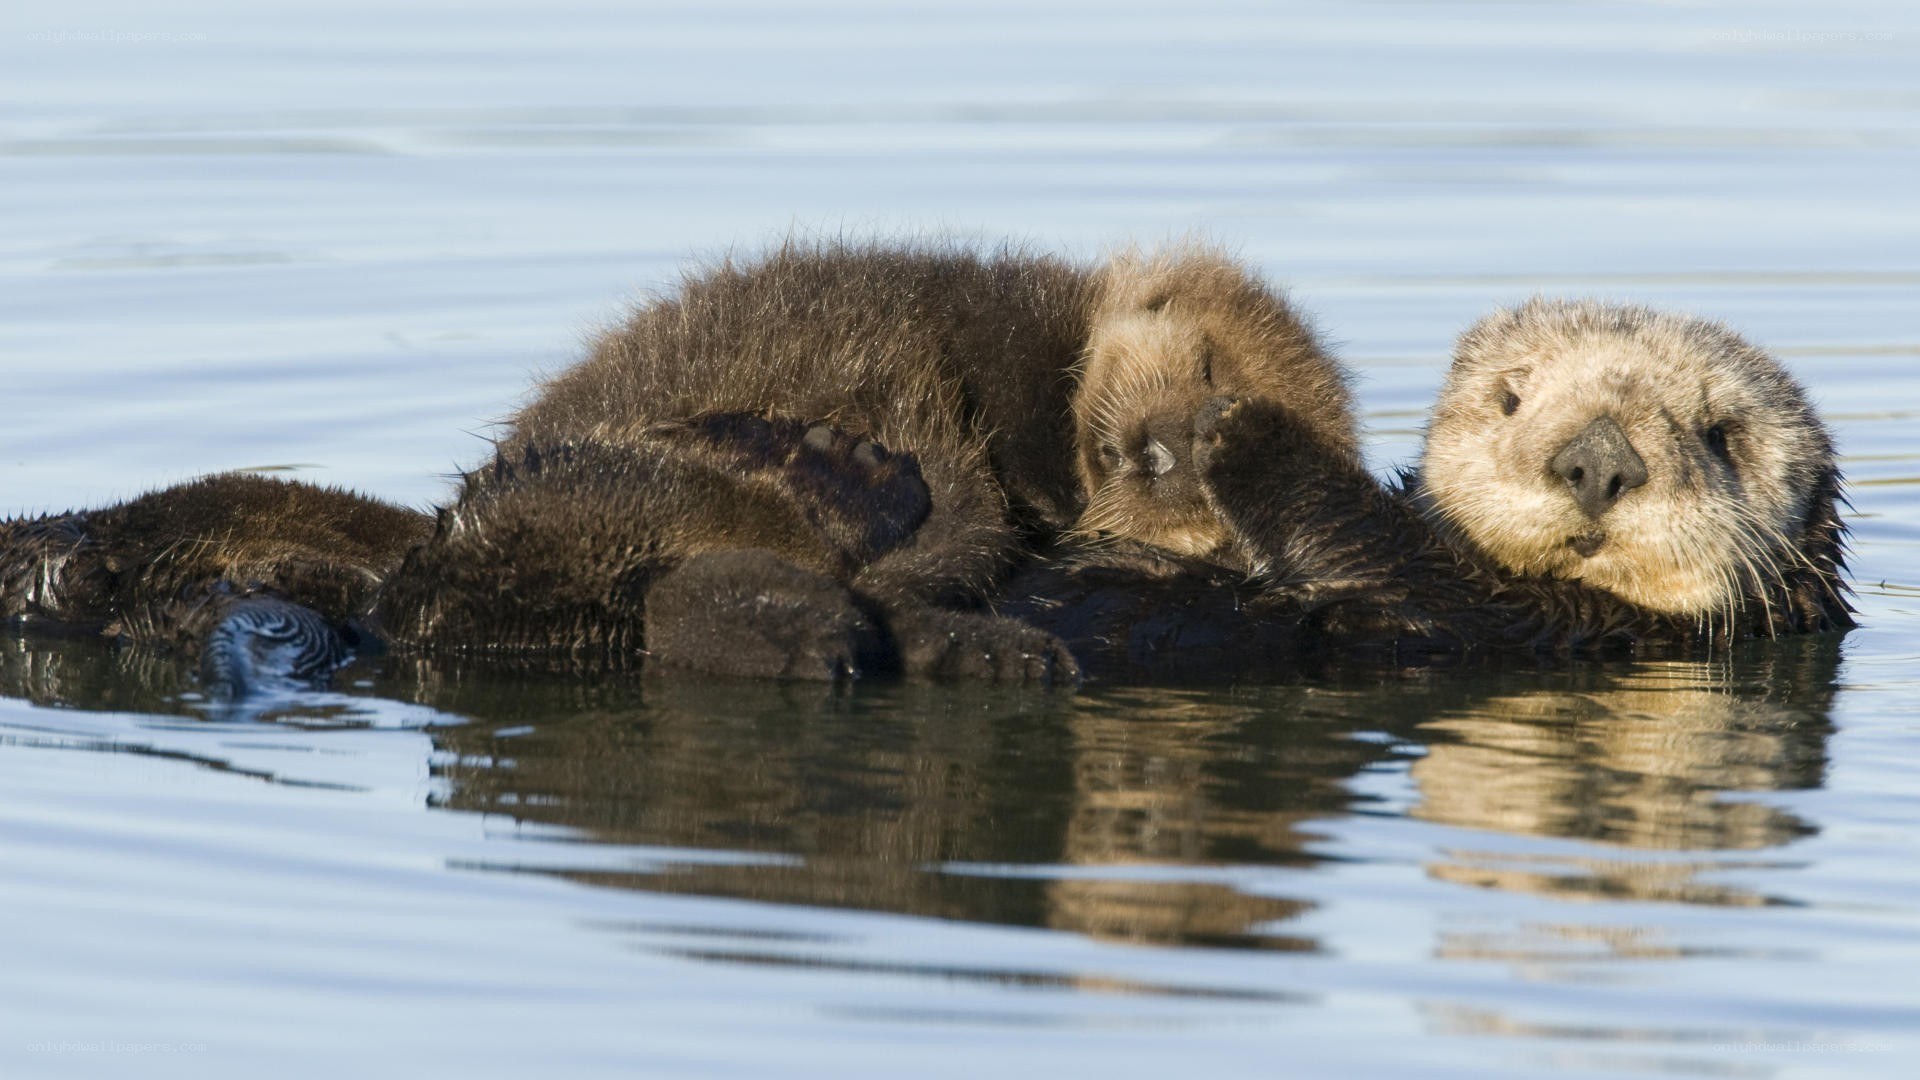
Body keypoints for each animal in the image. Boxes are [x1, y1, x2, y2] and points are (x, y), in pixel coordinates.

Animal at [1005, 299, 1852, 677]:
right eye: (1511, 398)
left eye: (1721, 435)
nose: (1599, 464)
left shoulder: (1496, 619)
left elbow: (1372, 544)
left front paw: (1241, 425)